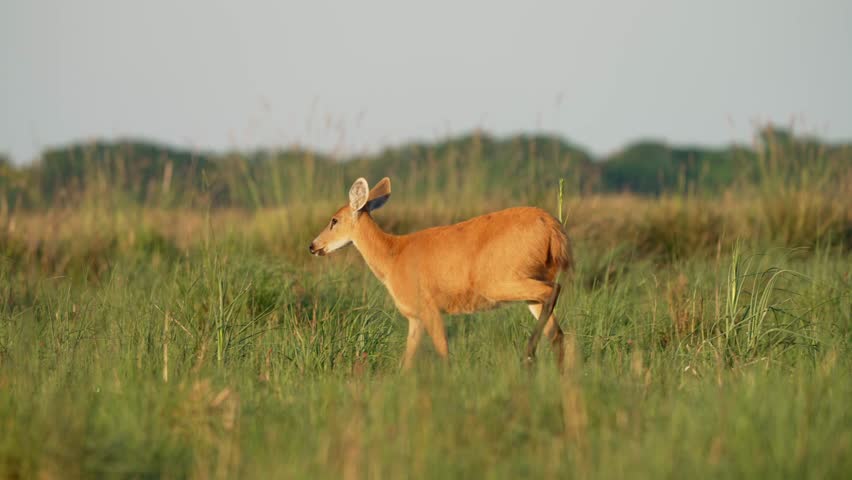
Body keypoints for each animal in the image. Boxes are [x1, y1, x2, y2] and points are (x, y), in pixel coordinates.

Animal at [309, 177, 573, 370]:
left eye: (334, 220)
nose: (313, 246)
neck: (392, 257)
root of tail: (554, 229)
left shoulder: (429, 306)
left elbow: (443, 352)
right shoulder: (414, 317)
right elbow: (407, 361)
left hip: (498, 280)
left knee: (554, 292)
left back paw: (528, 355)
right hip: (529, 279)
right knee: (557, 333)